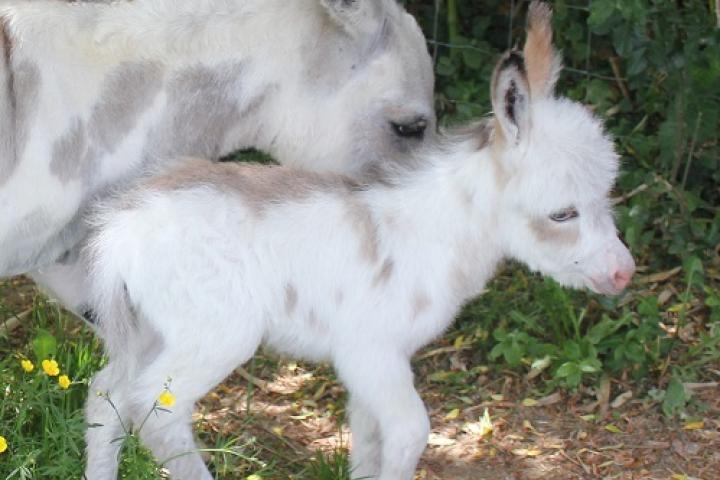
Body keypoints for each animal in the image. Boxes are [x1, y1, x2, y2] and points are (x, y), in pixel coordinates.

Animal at [86, 3, 636, 480]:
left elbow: (369, 441)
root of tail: (120, 227)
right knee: (155, 412)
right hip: (217, 334)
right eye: (562, 213)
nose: (623, 273)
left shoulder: (371, 364)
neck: (434, 231)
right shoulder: (372, 351)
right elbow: (410, 434)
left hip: (150, 329)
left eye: (607, 194)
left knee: (105, 397)